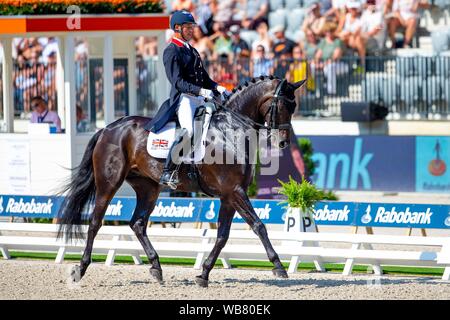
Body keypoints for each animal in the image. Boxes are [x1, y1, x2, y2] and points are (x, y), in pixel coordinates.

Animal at [57, 75, 306, 288]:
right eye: (282, 106)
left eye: (294, 107)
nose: (283, 143)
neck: (230, 131)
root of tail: (107, 128)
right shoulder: (235, 191)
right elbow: (258, 225)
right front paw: (279, 267)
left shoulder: (229, 195)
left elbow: (222, 236)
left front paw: (204, 274)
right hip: (109, 183)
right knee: (95, 222)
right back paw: (80, 269)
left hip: (148, 187)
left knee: (138, 223)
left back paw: (156, 268)